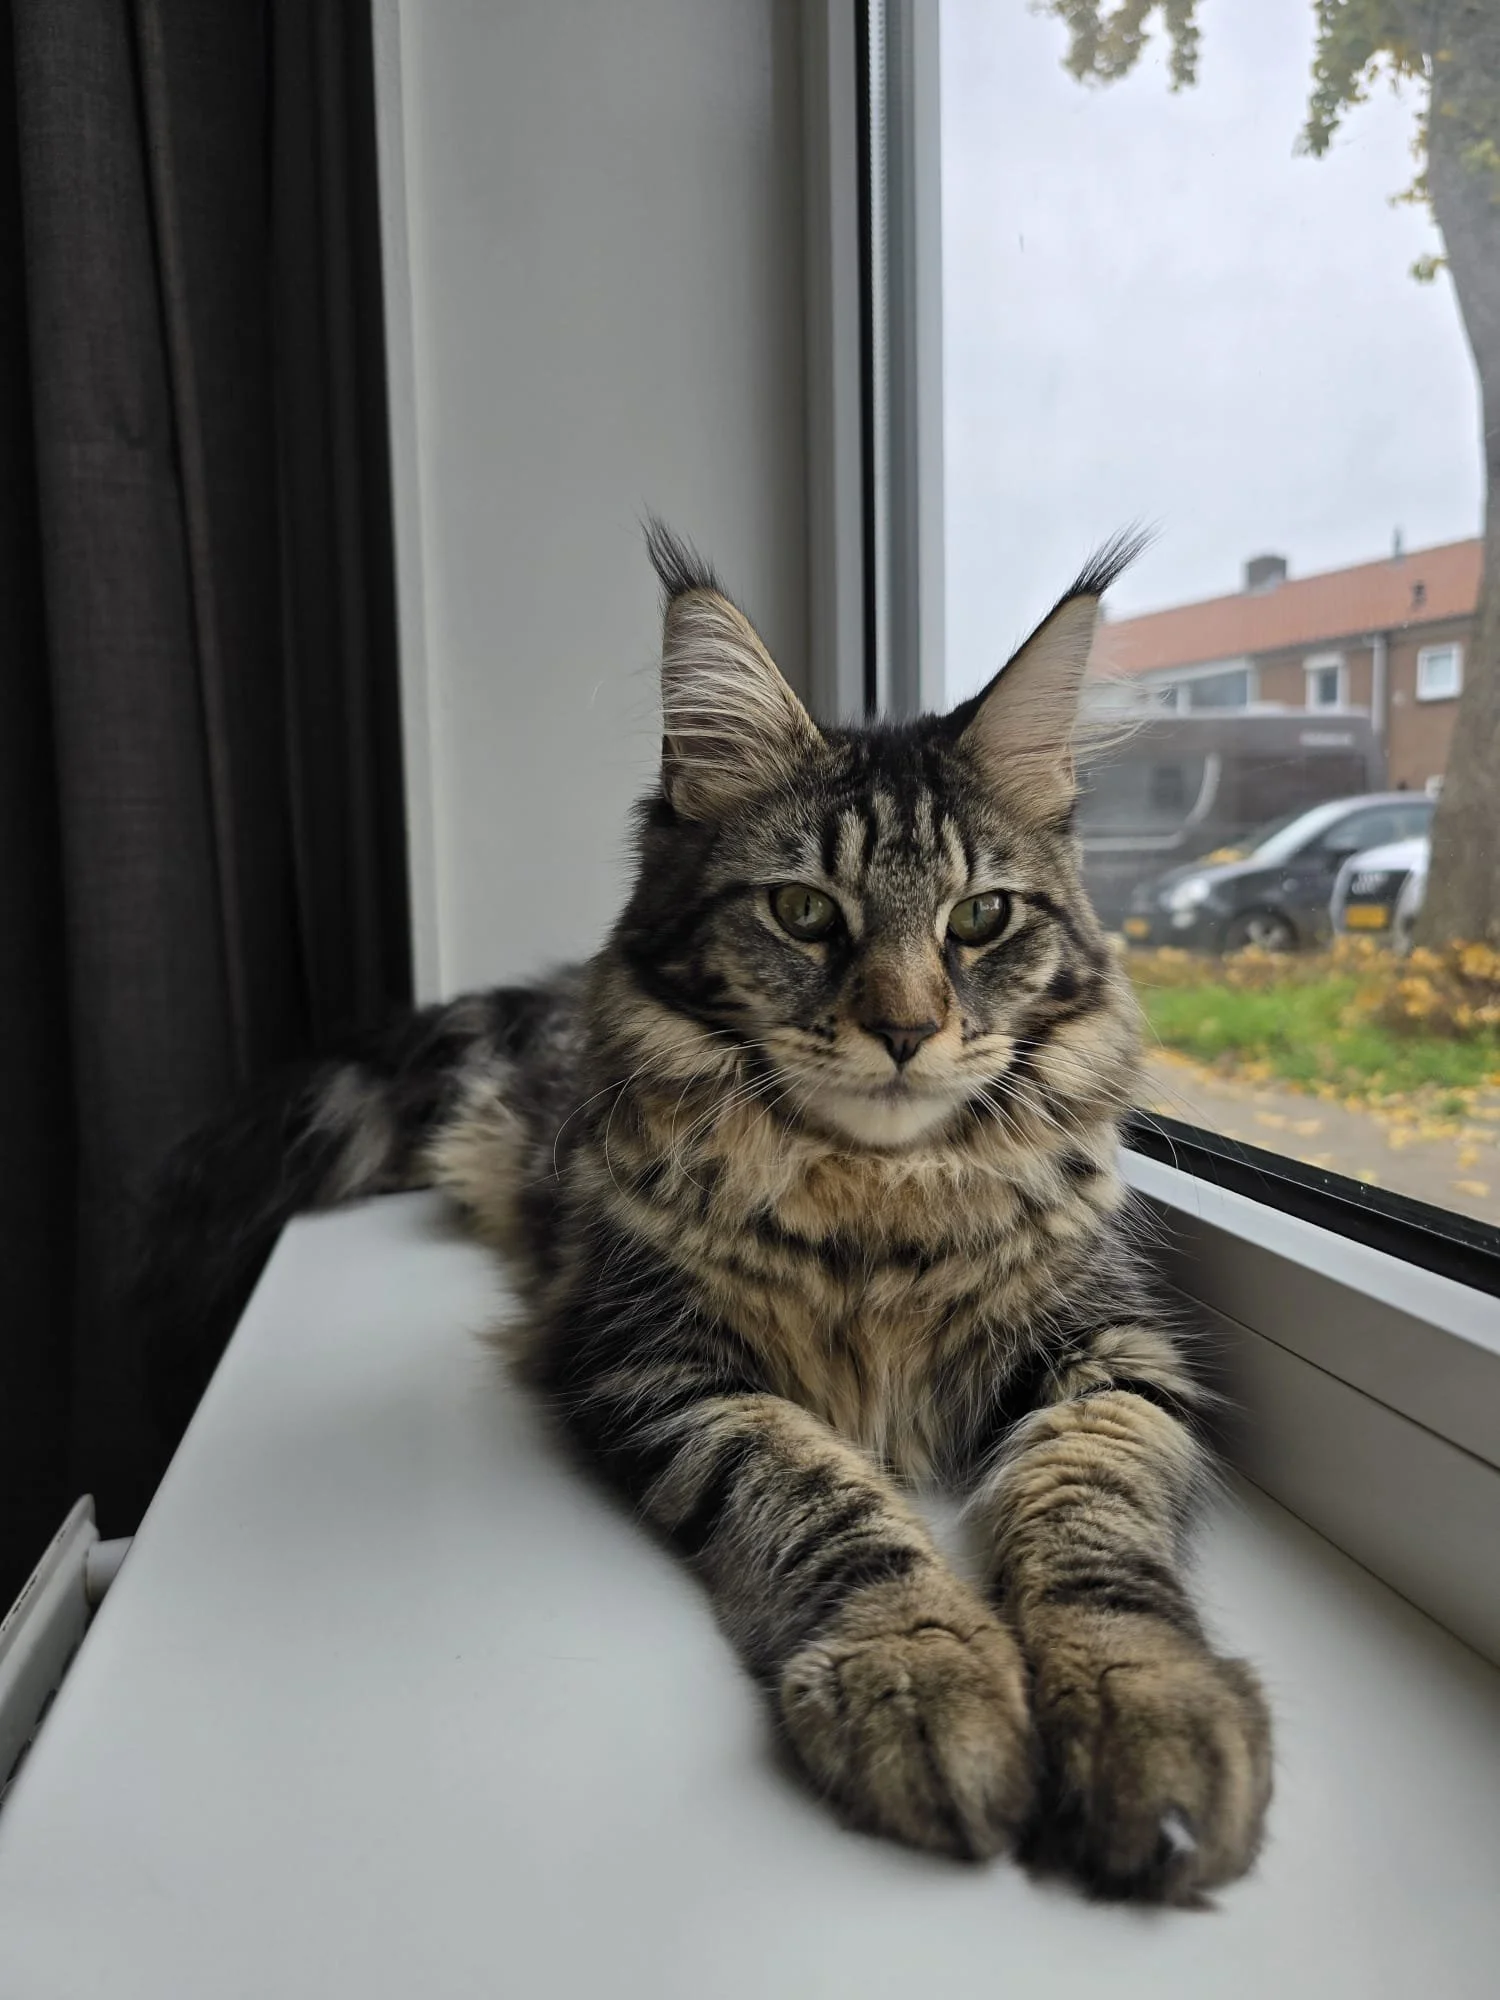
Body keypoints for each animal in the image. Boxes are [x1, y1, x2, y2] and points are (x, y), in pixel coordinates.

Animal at [135, 522, 1271, 1902]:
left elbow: (1094, 1516)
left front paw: (1146, 1706)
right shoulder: (661, 1362)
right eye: (805, 911)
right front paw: (926, 1672)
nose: (906, 1030)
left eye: (981, 918)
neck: (875, 1195)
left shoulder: (1111, 1354)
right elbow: (823, 1499)